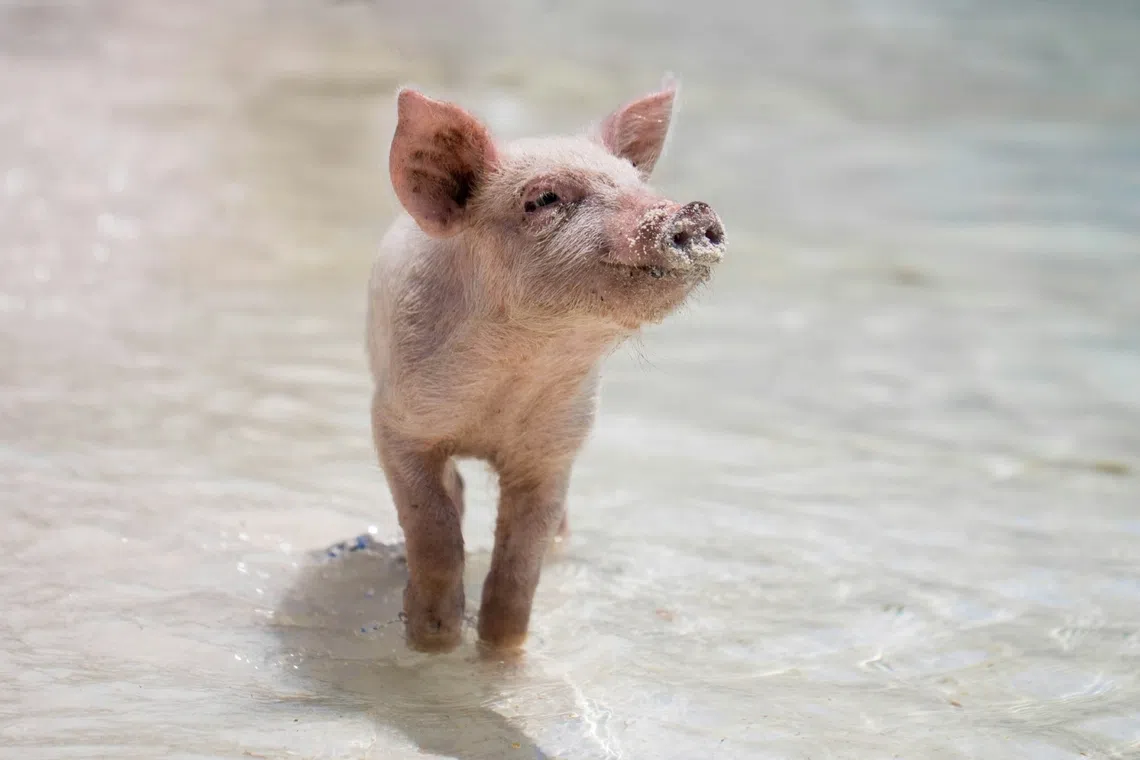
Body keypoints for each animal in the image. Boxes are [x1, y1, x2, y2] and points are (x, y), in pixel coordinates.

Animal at [367, 76, 726, 654]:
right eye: (544, 198)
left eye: (637, 183)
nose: (692, 211)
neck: (514, 375)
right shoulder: (396, 423)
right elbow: (434, 527)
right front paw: (433, 640)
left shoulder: (555, 449)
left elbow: (521, 561)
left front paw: (500, 651)